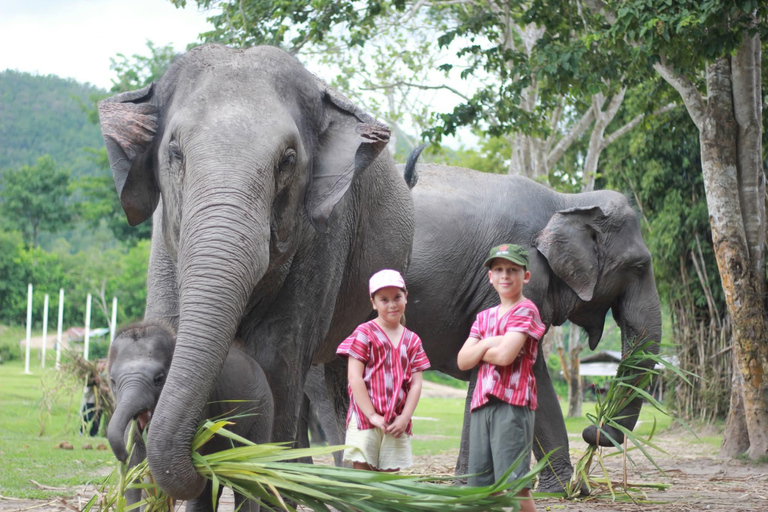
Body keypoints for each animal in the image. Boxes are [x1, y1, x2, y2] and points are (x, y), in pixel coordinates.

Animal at [107, 321, 274, 511]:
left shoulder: (201, 410)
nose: (122, 455)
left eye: (159, 378)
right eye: (112, 381)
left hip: (262, 411)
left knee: (249, 477)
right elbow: (133, 473)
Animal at [399, 155, 661, 493]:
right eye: (639, 266)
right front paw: (472, 491)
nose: (594, 429)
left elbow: (534, 373)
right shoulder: (512, 273)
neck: (567, 201)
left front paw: (565, 490)